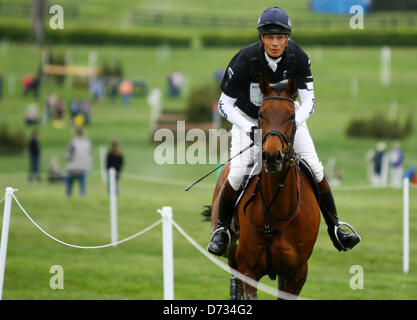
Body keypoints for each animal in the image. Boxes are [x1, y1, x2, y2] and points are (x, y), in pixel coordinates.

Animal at [207, 75, 318, 300]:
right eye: (260, 114)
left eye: (291, 115)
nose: (272, 156)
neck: (277, 212)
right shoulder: (248, 270)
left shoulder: (297, 273)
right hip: (232, 254)